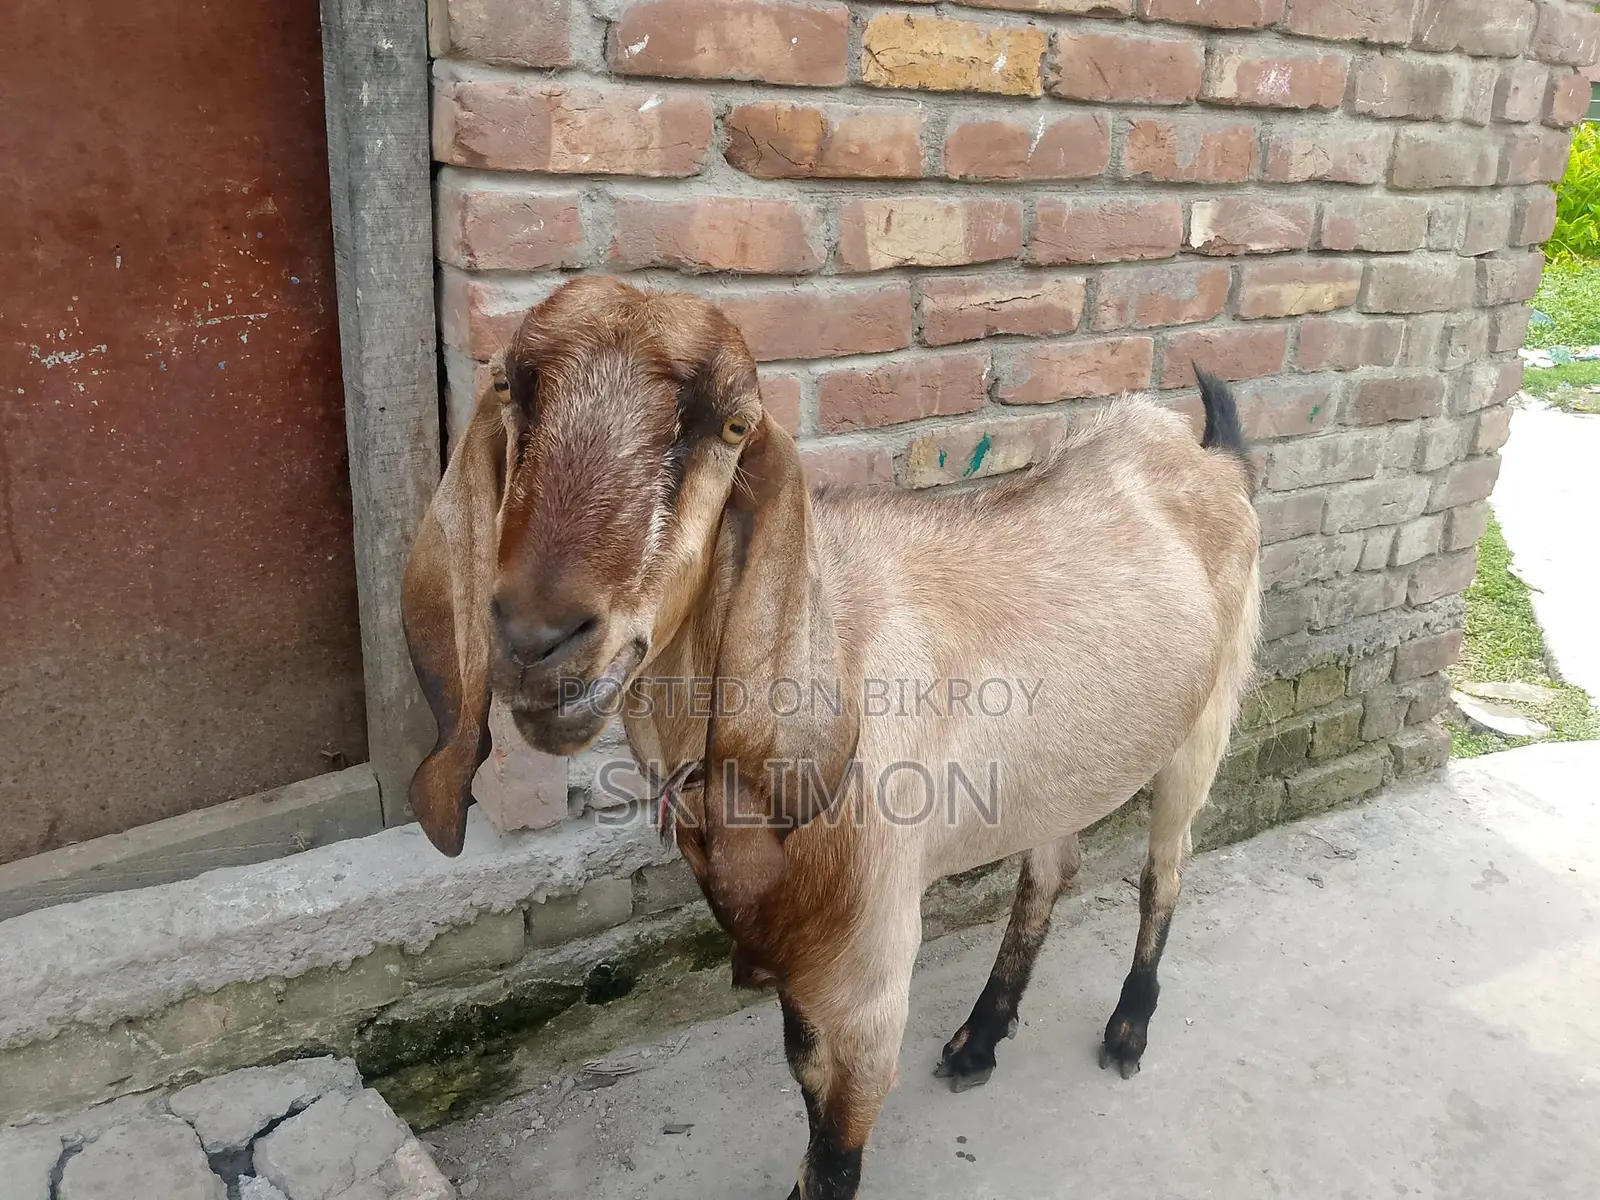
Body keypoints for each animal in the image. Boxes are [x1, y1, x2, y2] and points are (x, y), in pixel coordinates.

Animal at [401, 275, 1261, 1200]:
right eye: (509, 390)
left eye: (734, 427)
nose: (537, 639)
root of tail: (1211, 458)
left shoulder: (866, 967)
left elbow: (834, 1145)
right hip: (1062, 771)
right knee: (1053, 867)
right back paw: (980, 1038)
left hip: (1205, 721)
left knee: (1164, 868)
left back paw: (1128, 1028)